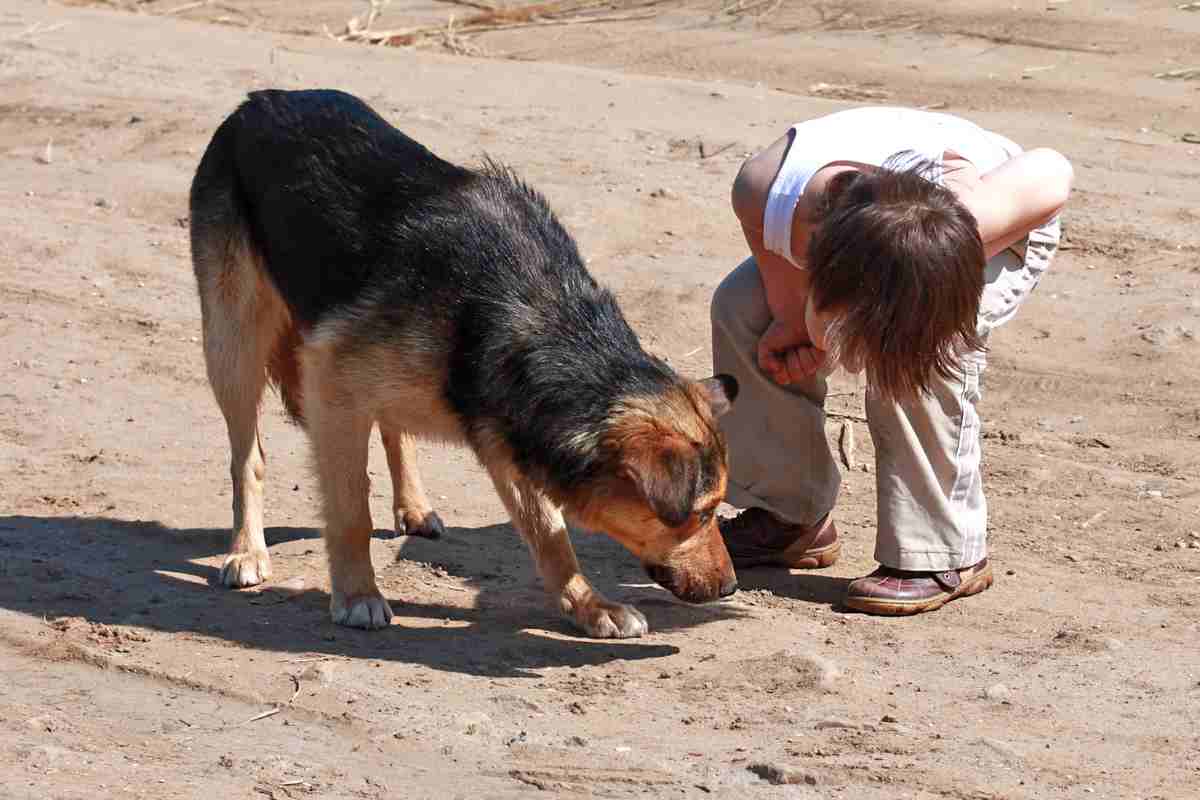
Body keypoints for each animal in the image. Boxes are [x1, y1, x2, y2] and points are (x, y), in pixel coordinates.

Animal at [188, 89, 739, 638]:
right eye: (701, 513)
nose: (732, 587)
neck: (534, 313)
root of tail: (257, 101)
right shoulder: (332, 386)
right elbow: (350, 511)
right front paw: (358, 595)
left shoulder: (510, 435)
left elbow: (551, 536)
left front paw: (589, 605)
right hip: (234, 346)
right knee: (249, 457)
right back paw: (246, 551)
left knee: (395, 428)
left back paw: (413, 505)